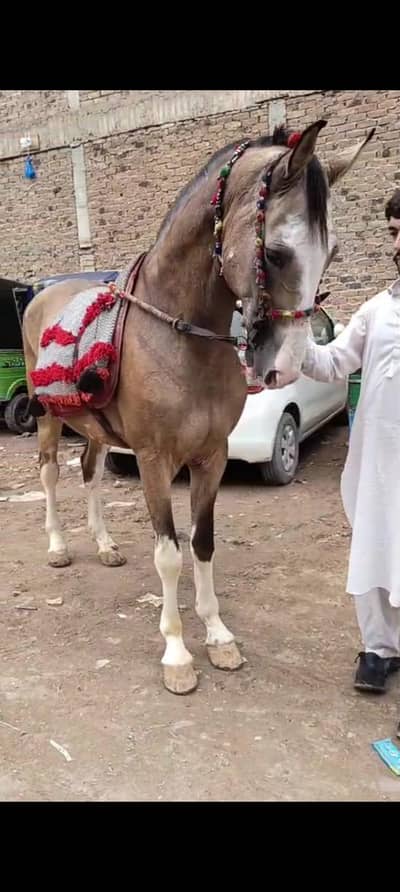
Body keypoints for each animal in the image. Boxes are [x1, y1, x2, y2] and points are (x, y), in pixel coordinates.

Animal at [23, 120, 373, 694]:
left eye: (333, 252)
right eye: (276, 253)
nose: (284, 368)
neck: (180, 338)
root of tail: (42, 297)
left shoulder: (211, 457)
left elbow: (203, 543)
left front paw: (218, 636)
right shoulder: (154, 461)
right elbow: (168, 554)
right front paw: (177, 655)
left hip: (95, 429)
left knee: (90, 472)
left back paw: (104, 545)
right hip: (51, 418)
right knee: (51, 473)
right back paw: (57, 547)